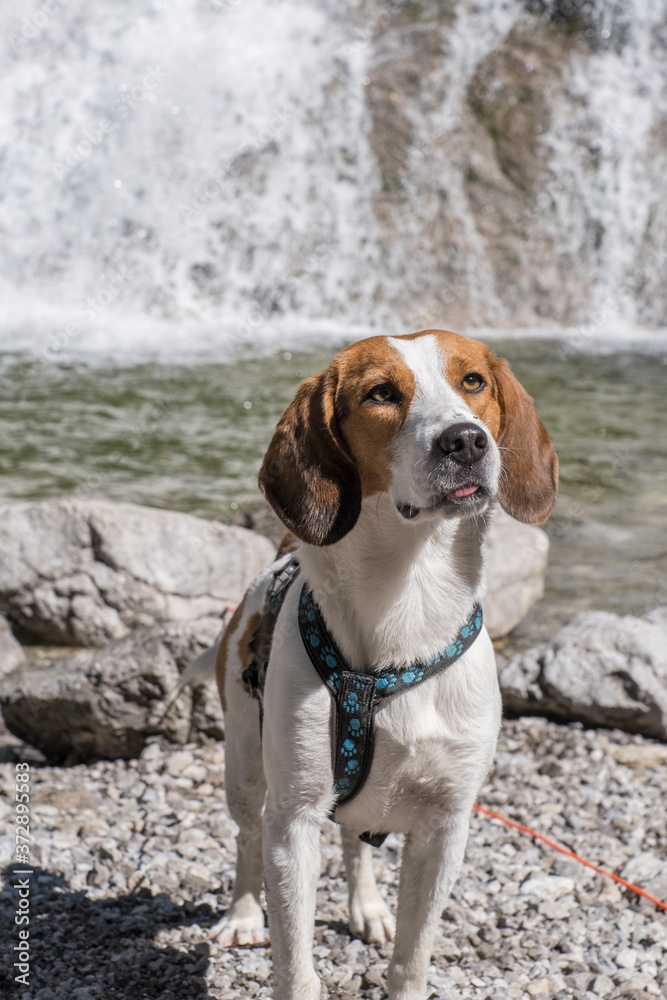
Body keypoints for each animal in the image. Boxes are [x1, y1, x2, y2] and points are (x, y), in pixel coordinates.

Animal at [205, 330, 560, 1000]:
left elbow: (412, 955)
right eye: (381, 394)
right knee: (245, 839)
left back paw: (367, 907)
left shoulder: (446, 826)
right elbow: (295, 964)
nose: (466, 440)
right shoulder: (293, 822)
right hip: (244, 765)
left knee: (354, 840)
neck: (409, 601)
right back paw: (241, 916)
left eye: (473, 380)